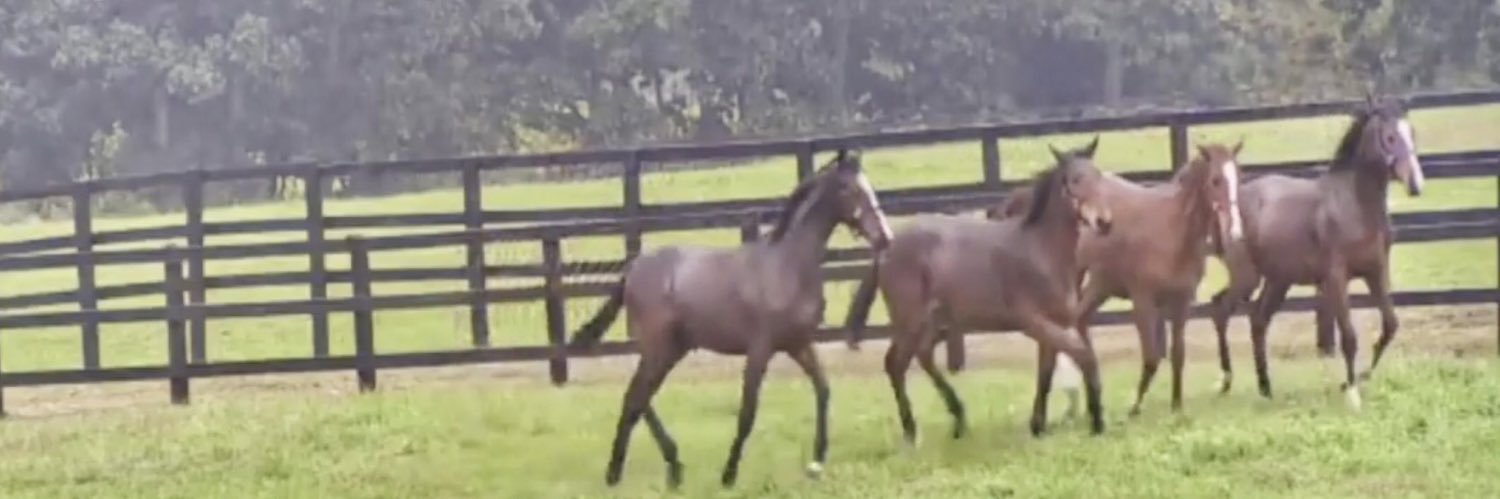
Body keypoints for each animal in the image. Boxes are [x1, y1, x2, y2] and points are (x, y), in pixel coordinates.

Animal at [567, 149, 893, 488]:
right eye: (847, 188)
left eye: (868, 186)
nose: (885, 237)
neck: (787, 266)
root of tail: (632, 271)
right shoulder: (760, 349)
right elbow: (748, 411)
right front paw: (729, 474)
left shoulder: (799, 343)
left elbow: (824, 390)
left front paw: (817, 462)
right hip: (659, 349)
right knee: (635, 398)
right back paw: (617, 472)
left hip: (670, 349)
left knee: (640, 398)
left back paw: (672, 467)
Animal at [845, 137, 1114, 442]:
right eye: (1074, 180)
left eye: (1098, 176)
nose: (1104, 222)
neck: (1040, 249)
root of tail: (887, 248)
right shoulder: (1033, 322)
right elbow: (1085, 357)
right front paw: (1097, 421)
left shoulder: (1054, 326)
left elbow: (1046, 374)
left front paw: (1038, 426)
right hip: (909, 319)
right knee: (895, 363)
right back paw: (912, 431)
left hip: (933, 321)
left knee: (922, 355)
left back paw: (959, 420)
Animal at [1207, 96, 1424, 408]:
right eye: (1390, 137)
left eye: (1412, 133)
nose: (1416, 185)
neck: (1354, 204)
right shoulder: (1336, 278)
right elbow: (1349, 336)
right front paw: (1352, 394)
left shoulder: (1376, 271)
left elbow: (1390, 326)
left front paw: (1358, 379)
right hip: (1246, 276)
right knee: (1220, 310)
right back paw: (1225, 382)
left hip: (1278, 280)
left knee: (1257, 320)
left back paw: (1266, 388)